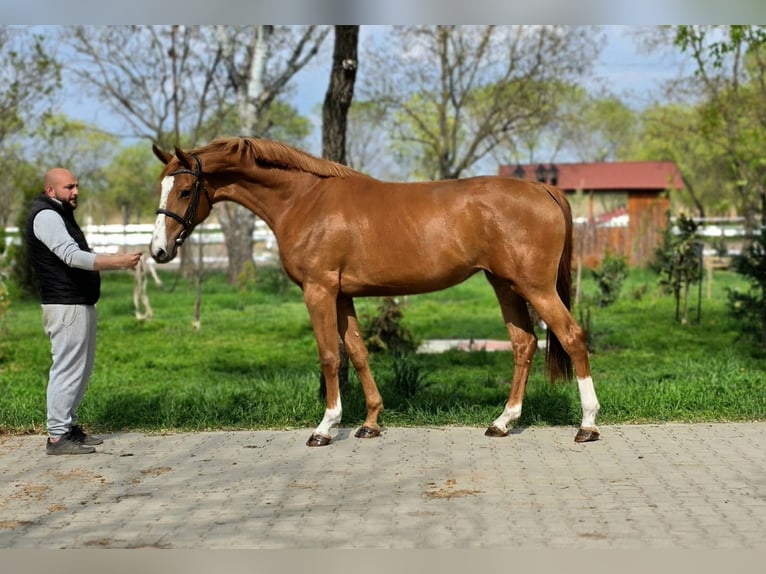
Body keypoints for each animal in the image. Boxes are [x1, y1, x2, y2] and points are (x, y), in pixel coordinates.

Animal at [149, 137, 600, 447]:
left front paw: (326, 427)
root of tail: (544, 189)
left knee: (572, 337)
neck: (304, 200)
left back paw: (587, 425)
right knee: (524, 344)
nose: (159, 250)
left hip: (535, 287)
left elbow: (330, 357)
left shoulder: (318, 290)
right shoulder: (342, 295)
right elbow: (358, 352)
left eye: (185, 191)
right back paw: (503, 422)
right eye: (162, 189)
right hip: (505, 285)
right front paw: (369, 423)